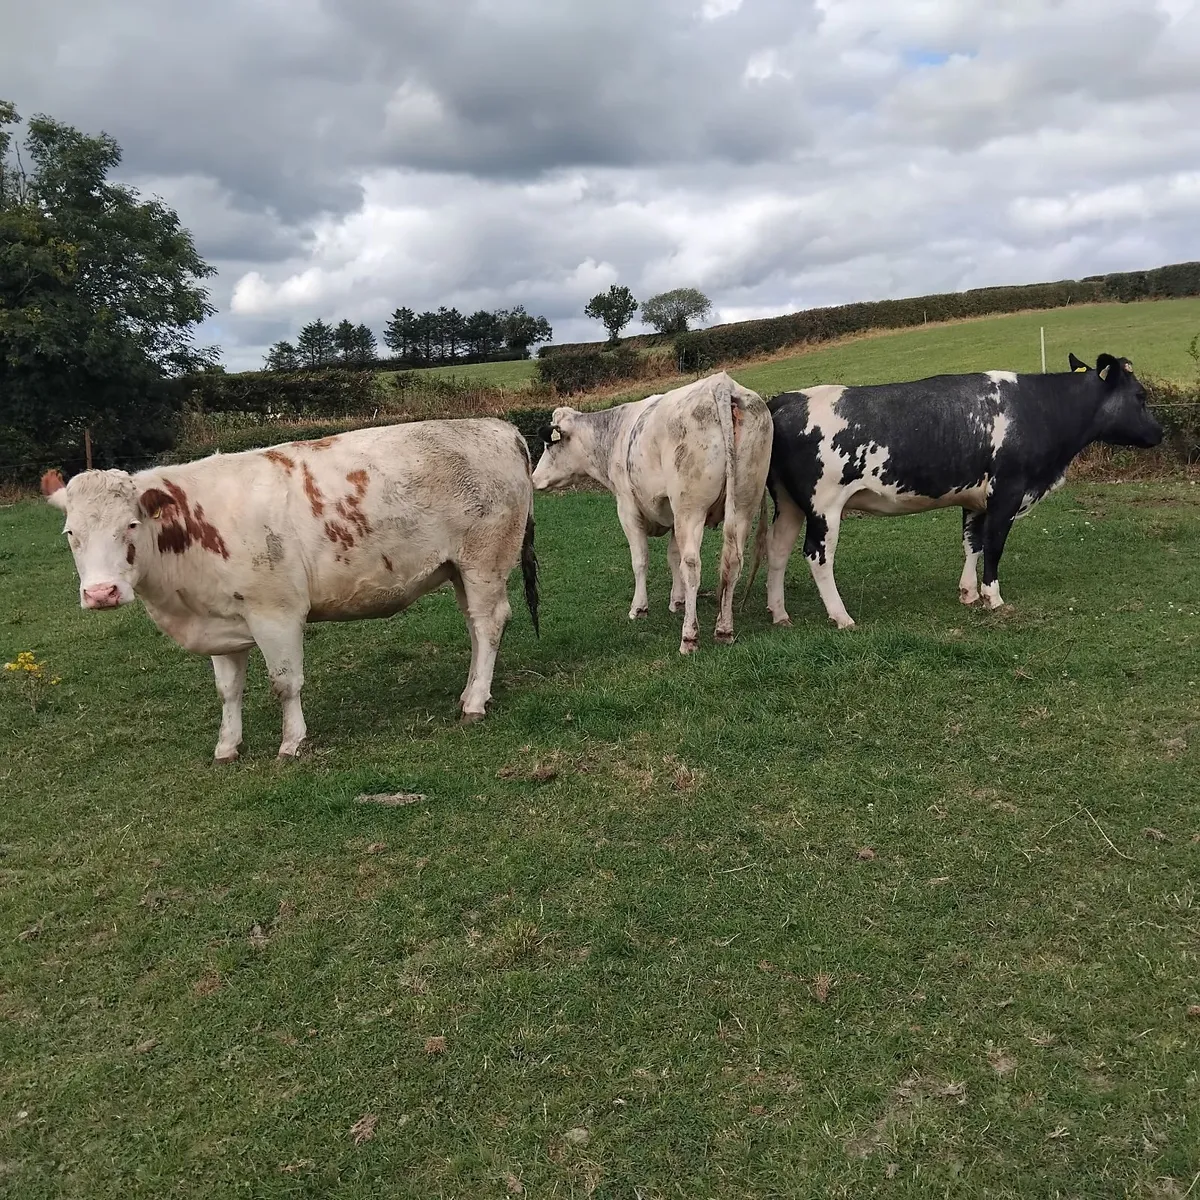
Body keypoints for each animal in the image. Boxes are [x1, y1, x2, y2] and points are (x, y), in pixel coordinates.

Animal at [41, 419, 540, 761]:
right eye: (70, 533)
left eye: (130, 524)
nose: (101, 593)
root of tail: (497, 427)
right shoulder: (220, 624)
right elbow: (228, 690)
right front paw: (227, 746)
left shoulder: (276, 613)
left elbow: (285, 682)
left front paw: (291, 742)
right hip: (459, 568)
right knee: (475, 627)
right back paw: (471, 691)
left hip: (484, 562)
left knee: (489, 623)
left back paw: (474, 703)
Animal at [531, 371, 772, 654]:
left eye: (549, 447)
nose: (533, 478)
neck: (615, 433)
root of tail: (721, 384)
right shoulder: (673, 516)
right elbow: (672, 556)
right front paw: (677, 601)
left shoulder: (627, 508)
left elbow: (640, 560)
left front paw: (639, 608)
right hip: (744, 505)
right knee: (732, 561)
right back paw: (724, 630)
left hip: (691, 509)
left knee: (692, 565)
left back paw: (689, 637)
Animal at [750, 353, 1164, 629]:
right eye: (1141, 396)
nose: (1160, 432)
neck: (1039, 409)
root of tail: (784, 399)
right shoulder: (1008, 491)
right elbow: (994, 546)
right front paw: (993, 597)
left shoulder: (976, 498)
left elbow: (972, 543)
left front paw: (968, 593)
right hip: (825, 505)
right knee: (817, 556)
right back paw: (841, 616)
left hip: (788, 503)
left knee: (778, 548)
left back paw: (779, 613)